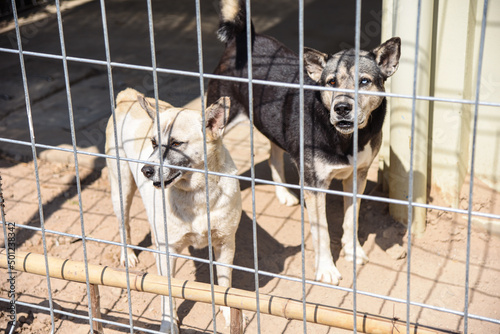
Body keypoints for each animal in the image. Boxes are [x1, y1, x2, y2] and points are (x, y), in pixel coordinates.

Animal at [105, 87, 242, 332]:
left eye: (176, 144)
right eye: (153, 142)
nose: (146, 170)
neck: (197, 195)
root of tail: (127, 96)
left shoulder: (225, 243)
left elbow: (225, 283)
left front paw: (227, 311)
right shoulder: (166, 251)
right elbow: (166, 290)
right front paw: (169, 322)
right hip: (121, 188)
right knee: (124, 224)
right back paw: (127, 255)